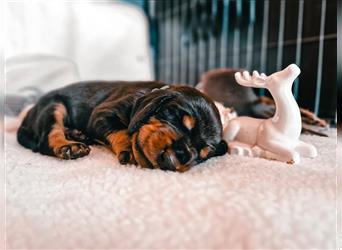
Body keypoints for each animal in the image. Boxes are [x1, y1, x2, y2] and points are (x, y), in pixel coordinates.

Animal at [18, 81, 227, 172]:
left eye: (202, 155)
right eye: (173, 116)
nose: (179, 156)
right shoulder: (101, 113)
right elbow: (121, 131)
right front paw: (128, 150)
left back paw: (77, 134)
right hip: (54, 106)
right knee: (48, 136)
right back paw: (69, 146)